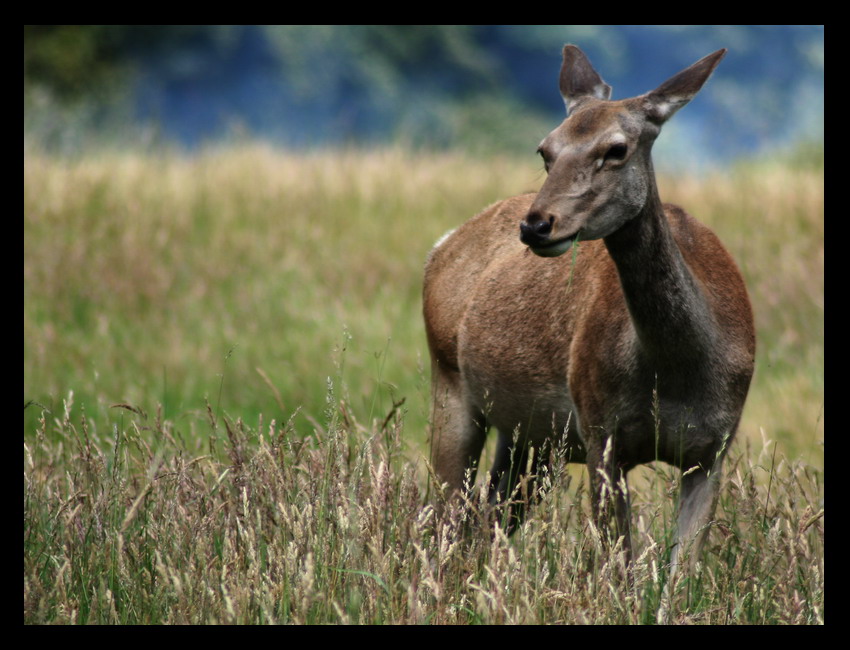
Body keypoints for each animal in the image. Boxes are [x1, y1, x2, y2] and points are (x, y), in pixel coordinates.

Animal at [420, 43, 752, 576]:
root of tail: (442, 244)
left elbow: (681, 577)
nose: (536, 224)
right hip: (448, 379)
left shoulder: (715, 447)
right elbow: (619, 571)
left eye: (616, 149)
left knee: (487, 518)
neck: (677, 374)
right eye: (545, 150)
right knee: (446, 520)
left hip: (528, 436)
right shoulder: (600, 431)